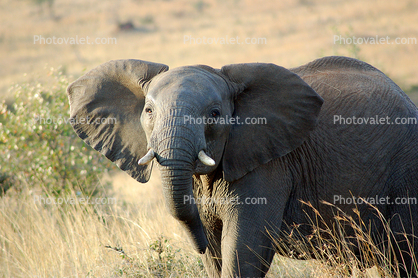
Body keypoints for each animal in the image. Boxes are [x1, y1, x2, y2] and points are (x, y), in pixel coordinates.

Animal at [67, 55, 416, 276]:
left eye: (215, 114)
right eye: (149, 111)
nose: (196, 245)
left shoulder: (269, 165)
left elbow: (241, 252)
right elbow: (217, 255)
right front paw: (208, 245)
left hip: (406, 175)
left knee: (403, 255)